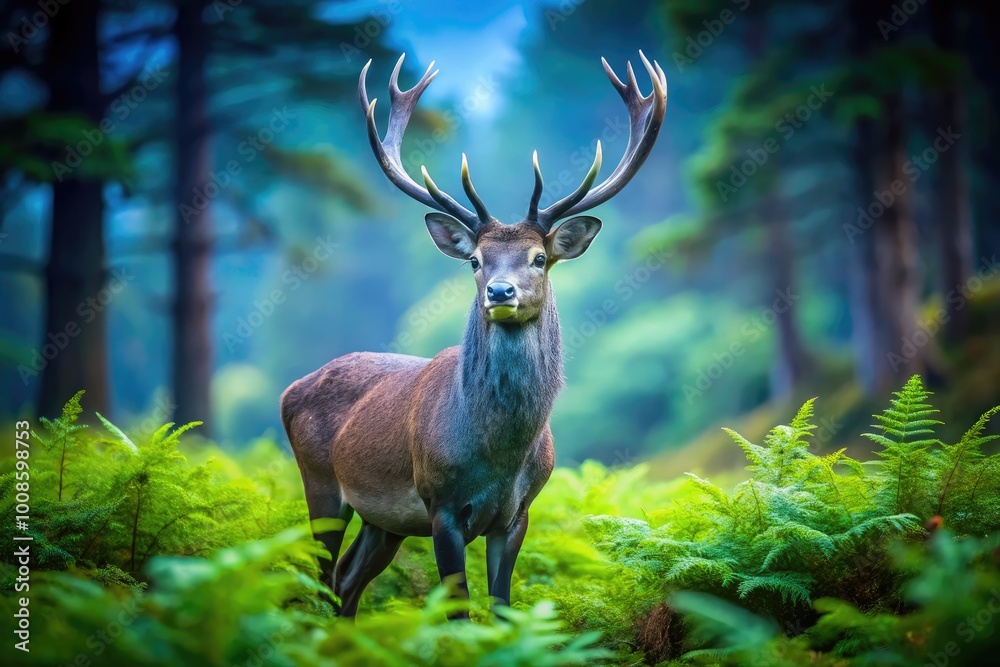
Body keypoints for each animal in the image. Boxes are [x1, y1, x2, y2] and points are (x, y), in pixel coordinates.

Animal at [280, 52, 666, 617]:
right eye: (475, 261)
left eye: (540, 258)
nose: (500, 292)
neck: (499, 456)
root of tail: (290, 390)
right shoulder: (440, 505)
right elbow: (458, 610)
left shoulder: (518, 512)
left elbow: (502, 606)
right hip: (322, 484)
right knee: (314, 580)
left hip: (384, 521)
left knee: (345, 583)